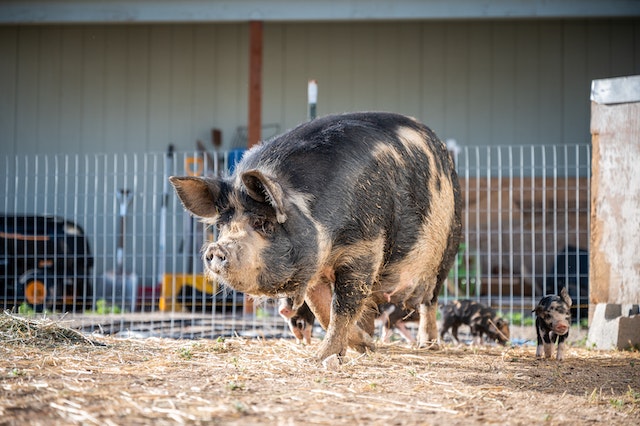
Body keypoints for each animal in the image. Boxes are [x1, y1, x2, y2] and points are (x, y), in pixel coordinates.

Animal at [170, 111, 460, 362]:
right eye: (222, 225)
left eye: (262, 223)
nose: (216, 250)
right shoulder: (315, 267)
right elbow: (323, 310)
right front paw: (364, 347)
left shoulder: (365, 248)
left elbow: (342, 307)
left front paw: (320, 358)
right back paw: (373, 344)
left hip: (449, 246)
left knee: (429, 301)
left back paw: (427, 345)